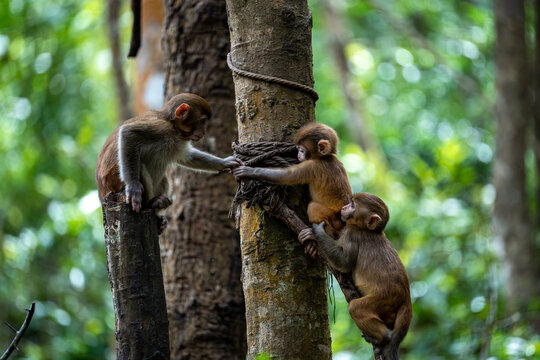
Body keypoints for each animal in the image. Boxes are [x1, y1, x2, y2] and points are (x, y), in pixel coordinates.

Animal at [300, 194, 414, 360]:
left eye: (353, 205)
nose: (344, 207)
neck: (368, 230)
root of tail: (406, 299)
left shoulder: (351, 233)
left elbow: (344, 262)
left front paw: (316, 232)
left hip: (385, 300)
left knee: (355, 307)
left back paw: (383, 337)